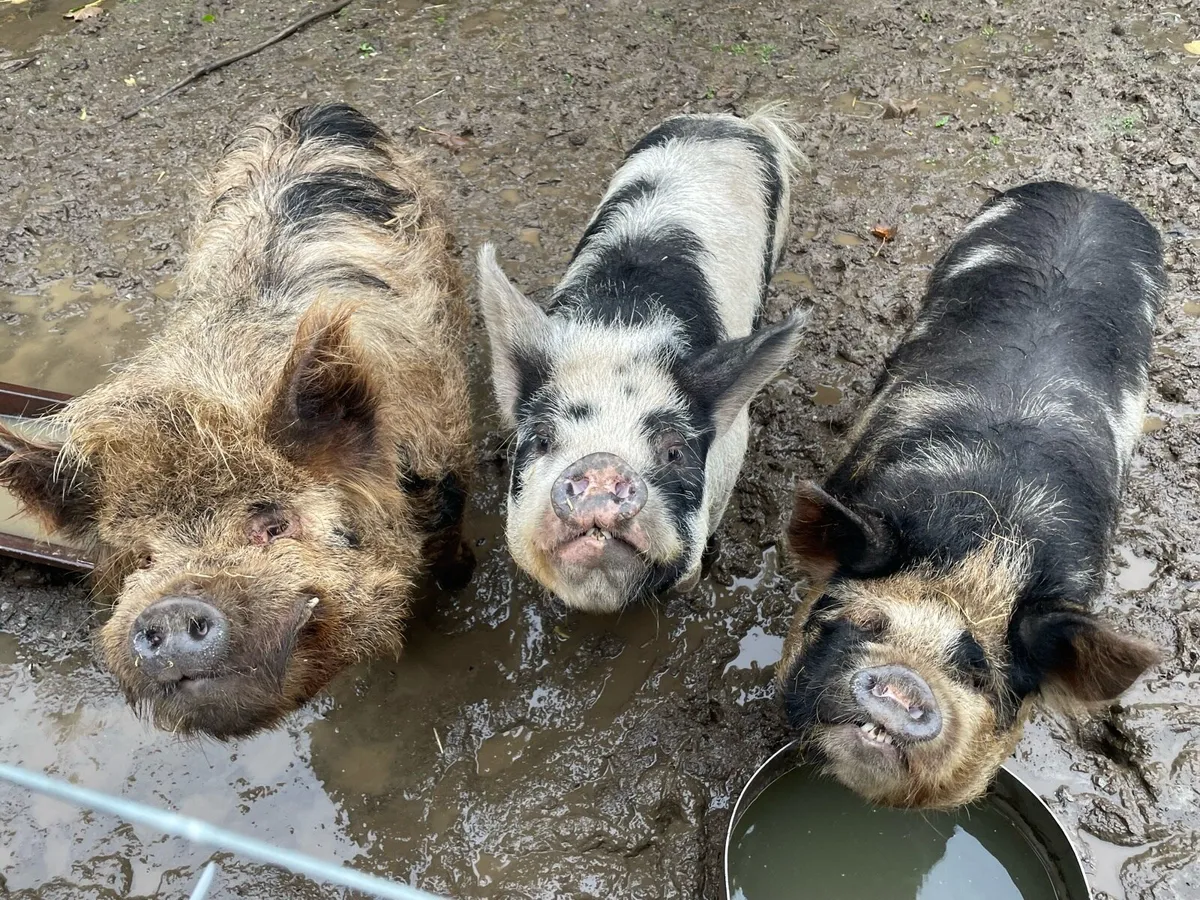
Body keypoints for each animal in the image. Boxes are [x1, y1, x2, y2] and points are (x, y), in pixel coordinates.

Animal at [0, 103, 474, 739]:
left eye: (273, 524)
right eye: (141, 559)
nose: (172, 608)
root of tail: (310, 109)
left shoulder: (445, 465)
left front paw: (460, 585)